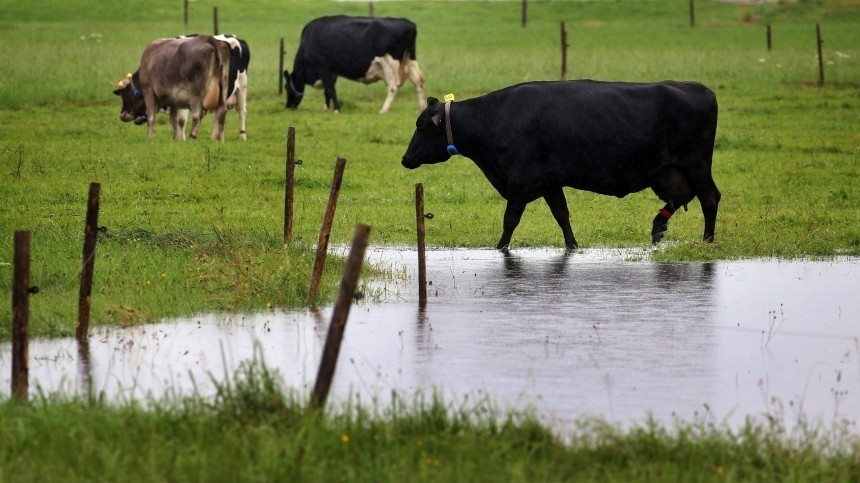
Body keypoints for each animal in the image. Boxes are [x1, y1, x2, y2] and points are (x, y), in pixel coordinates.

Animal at [114, 34, 250, 141]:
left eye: (125, 96)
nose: (122, 115)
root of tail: (210, 39)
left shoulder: (149, 91)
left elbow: (153, 116)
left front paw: (150, 137)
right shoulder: (174, 98)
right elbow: (174, 120)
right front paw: (177, 139)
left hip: (230, 89)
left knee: (238, 113)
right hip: (223, 90)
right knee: (221, 111)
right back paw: (218, 139)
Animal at [284, 14, 424, 114]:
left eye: (286, 87)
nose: (288, 107)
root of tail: (408, 23)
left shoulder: (323, 67)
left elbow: (330, 88)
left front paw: (336, 109)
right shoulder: (332, 71)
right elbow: (328, 90)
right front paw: (326, 108)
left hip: (390, 63)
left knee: (393, 86)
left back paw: (383, 109)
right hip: (410, 60)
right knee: (419, 81)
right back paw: (421, 107)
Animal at [400, 80, 724, 250]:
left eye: (420, 125)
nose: (405, 159)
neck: (495, 119)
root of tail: (698, 87)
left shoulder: (520, 184)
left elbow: (510, 221)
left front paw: (499, 248)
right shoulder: (549, 182)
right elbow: (562, 215)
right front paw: (573, 246)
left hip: (696, 165)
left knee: (710, 198)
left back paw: (708, 240)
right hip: (668, 172)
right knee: (681, 197)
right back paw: (658, 227)